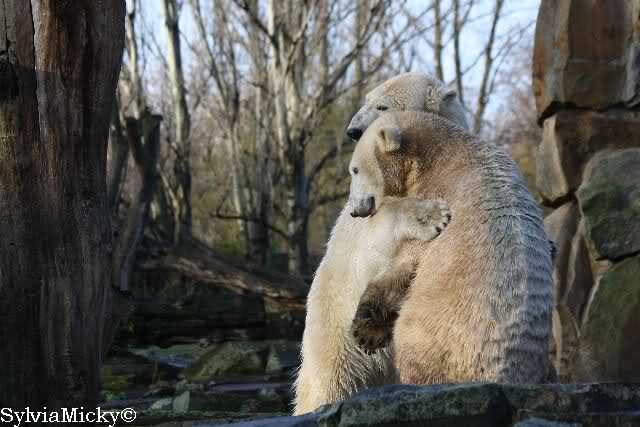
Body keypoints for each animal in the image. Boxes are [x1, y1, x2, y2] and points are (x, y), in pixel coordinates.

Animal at [293, 73, 468, 415]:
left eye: (383, 105)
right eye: (366, 100)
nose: (353, 131)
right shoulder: (357, 222)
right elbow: (374, 238)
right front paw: (428, 216)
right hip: (334, 337)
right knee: (328, 385)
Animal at [347, 110, 554, 385]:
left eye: (355, 170)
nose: (355, 210)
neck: (440, 151)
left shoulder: (439, 195)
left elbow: (406, 263)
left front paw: (366, 331)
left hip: (437, 329)